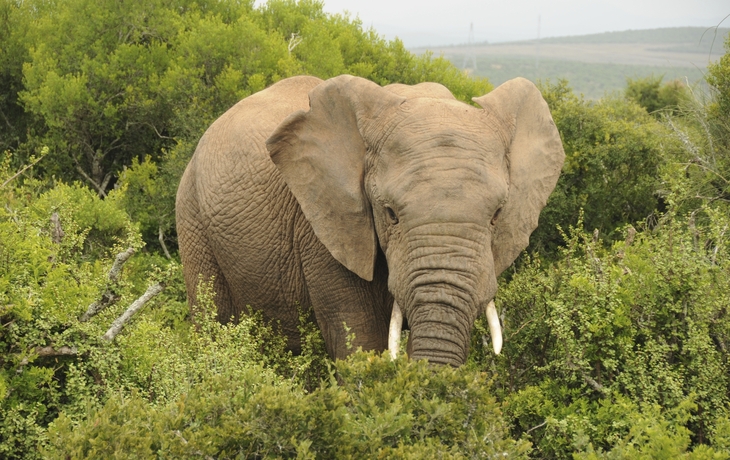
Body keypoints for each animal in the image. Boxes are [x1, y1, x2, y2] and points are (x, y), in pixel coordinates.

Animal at [176, 74, 564, 366]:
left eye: (497, 215)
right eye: (389, 213)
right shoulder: (323, 226)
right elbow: (358, 338)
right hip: (191, 215)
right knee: (211, 319)